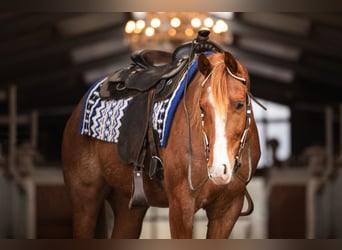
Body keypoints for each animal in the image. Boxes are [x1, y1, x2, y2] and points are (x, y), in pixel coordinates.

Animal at [61, 48, 260, 238]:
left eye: (240, 104)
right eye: (202, 107)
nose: (219, 170)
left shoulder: (227, 211)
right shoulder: (181, 205)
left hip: (128, 206)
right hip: (85, 200)